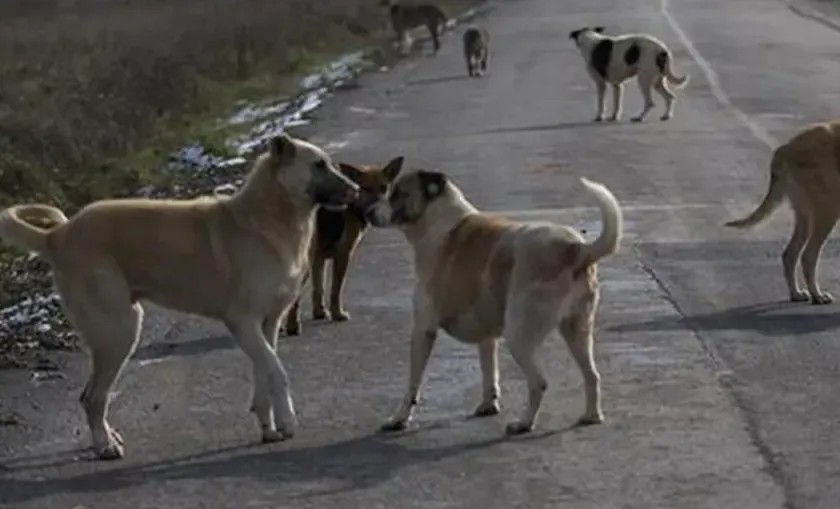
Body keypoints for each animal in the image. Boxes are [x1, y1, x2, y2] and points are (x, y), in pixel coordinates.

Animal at [0, 133, 358, 458]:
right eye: (318, 165)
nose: (355, 190)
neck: (268, 217)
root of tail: (57, 235)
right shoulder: (242, 323)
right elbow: (277, 372)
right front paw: (288, 421)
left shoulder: (266, 325)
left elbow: (265, 374)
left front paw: (269, 428)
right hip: (119, 331)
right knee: (92, 397)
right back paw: (105, 446)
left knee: (94, 396)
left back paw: (108, 438)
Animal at [368, 166, 624, 432]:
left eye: (397, 193)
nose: (368, 213)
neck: (438, 220)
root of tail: (575, 248)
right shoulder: (487, 334)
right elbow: (489, 370)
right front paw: (488, 404)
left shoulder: (422, 330)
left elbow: (412, 385)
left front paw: (399, 418)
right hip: (577, 330)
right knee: (592, 375)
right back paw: (591, 415)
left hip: (519, 335)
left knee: (539, 381)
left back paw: (524, 423)